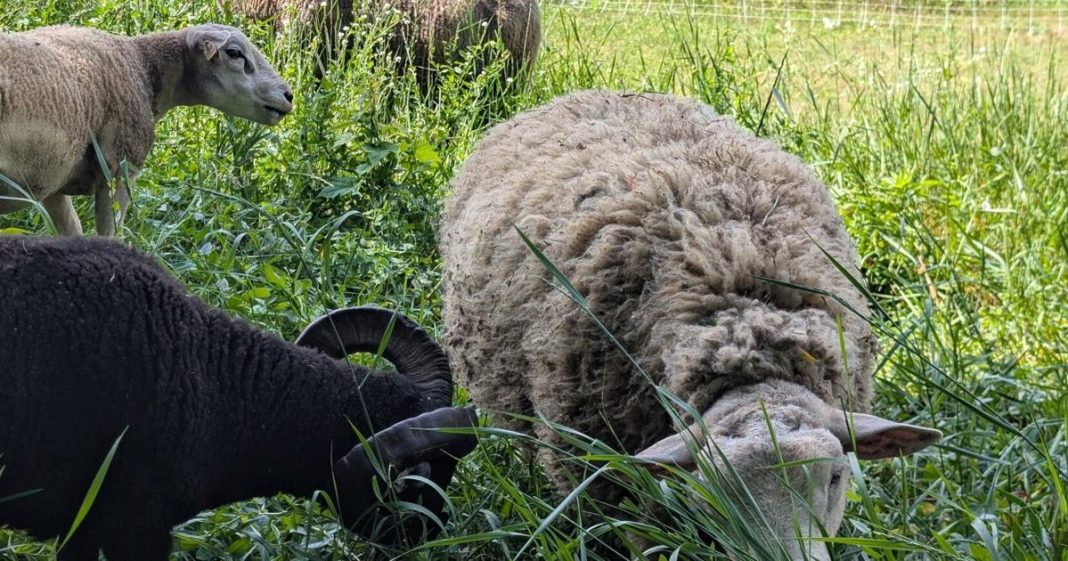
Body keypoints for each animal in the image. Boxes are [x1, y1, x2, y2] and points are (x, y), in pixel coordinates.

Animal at [0, 23, 294, 237]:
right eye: (234, 53)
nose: (288, 95)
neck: (144, 68)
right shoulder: (119, 168)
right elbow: (110, 237)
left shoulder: (51, 185)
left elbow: (72, 233)